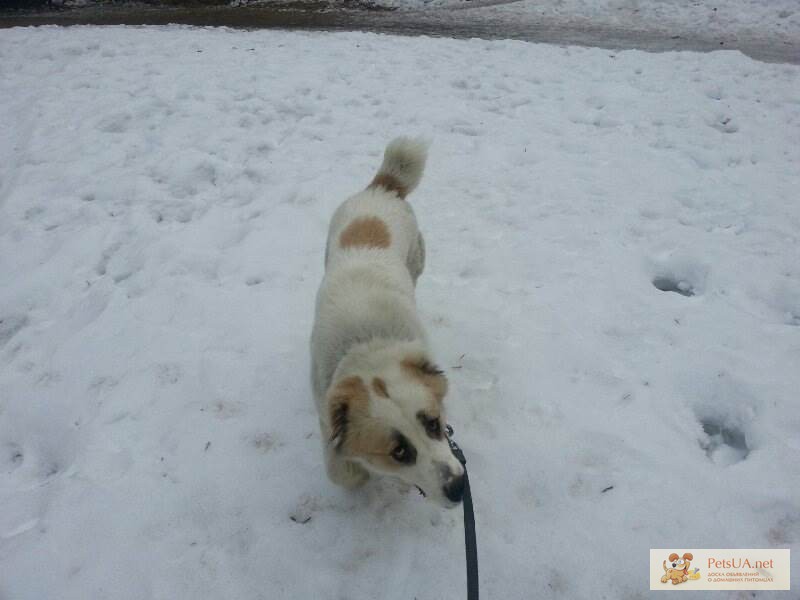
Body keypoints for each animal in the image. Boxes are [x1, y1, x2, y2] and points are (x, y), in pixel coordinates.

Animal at [310, 137, 466, 506]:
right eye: (399, 452)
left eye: (434, 423)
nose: (459, 488)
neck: (368, 342)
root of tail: (382, 187)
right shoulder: (323, 406)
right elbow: (342, 470)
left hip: (416, 257)